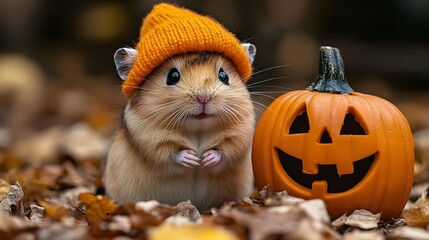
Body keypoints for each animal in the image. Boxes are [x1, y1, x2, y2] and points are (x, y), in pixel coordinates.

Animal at [105, 43, 256, 212]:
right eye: (172, 76)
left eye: (224, 76)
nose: (203, 98)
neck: (198, 129)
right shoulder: (149, 139)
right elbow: (171, 153)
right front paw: (193, 158)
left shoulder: (240, 135)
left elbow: (224, 151)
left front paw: (205, 159)